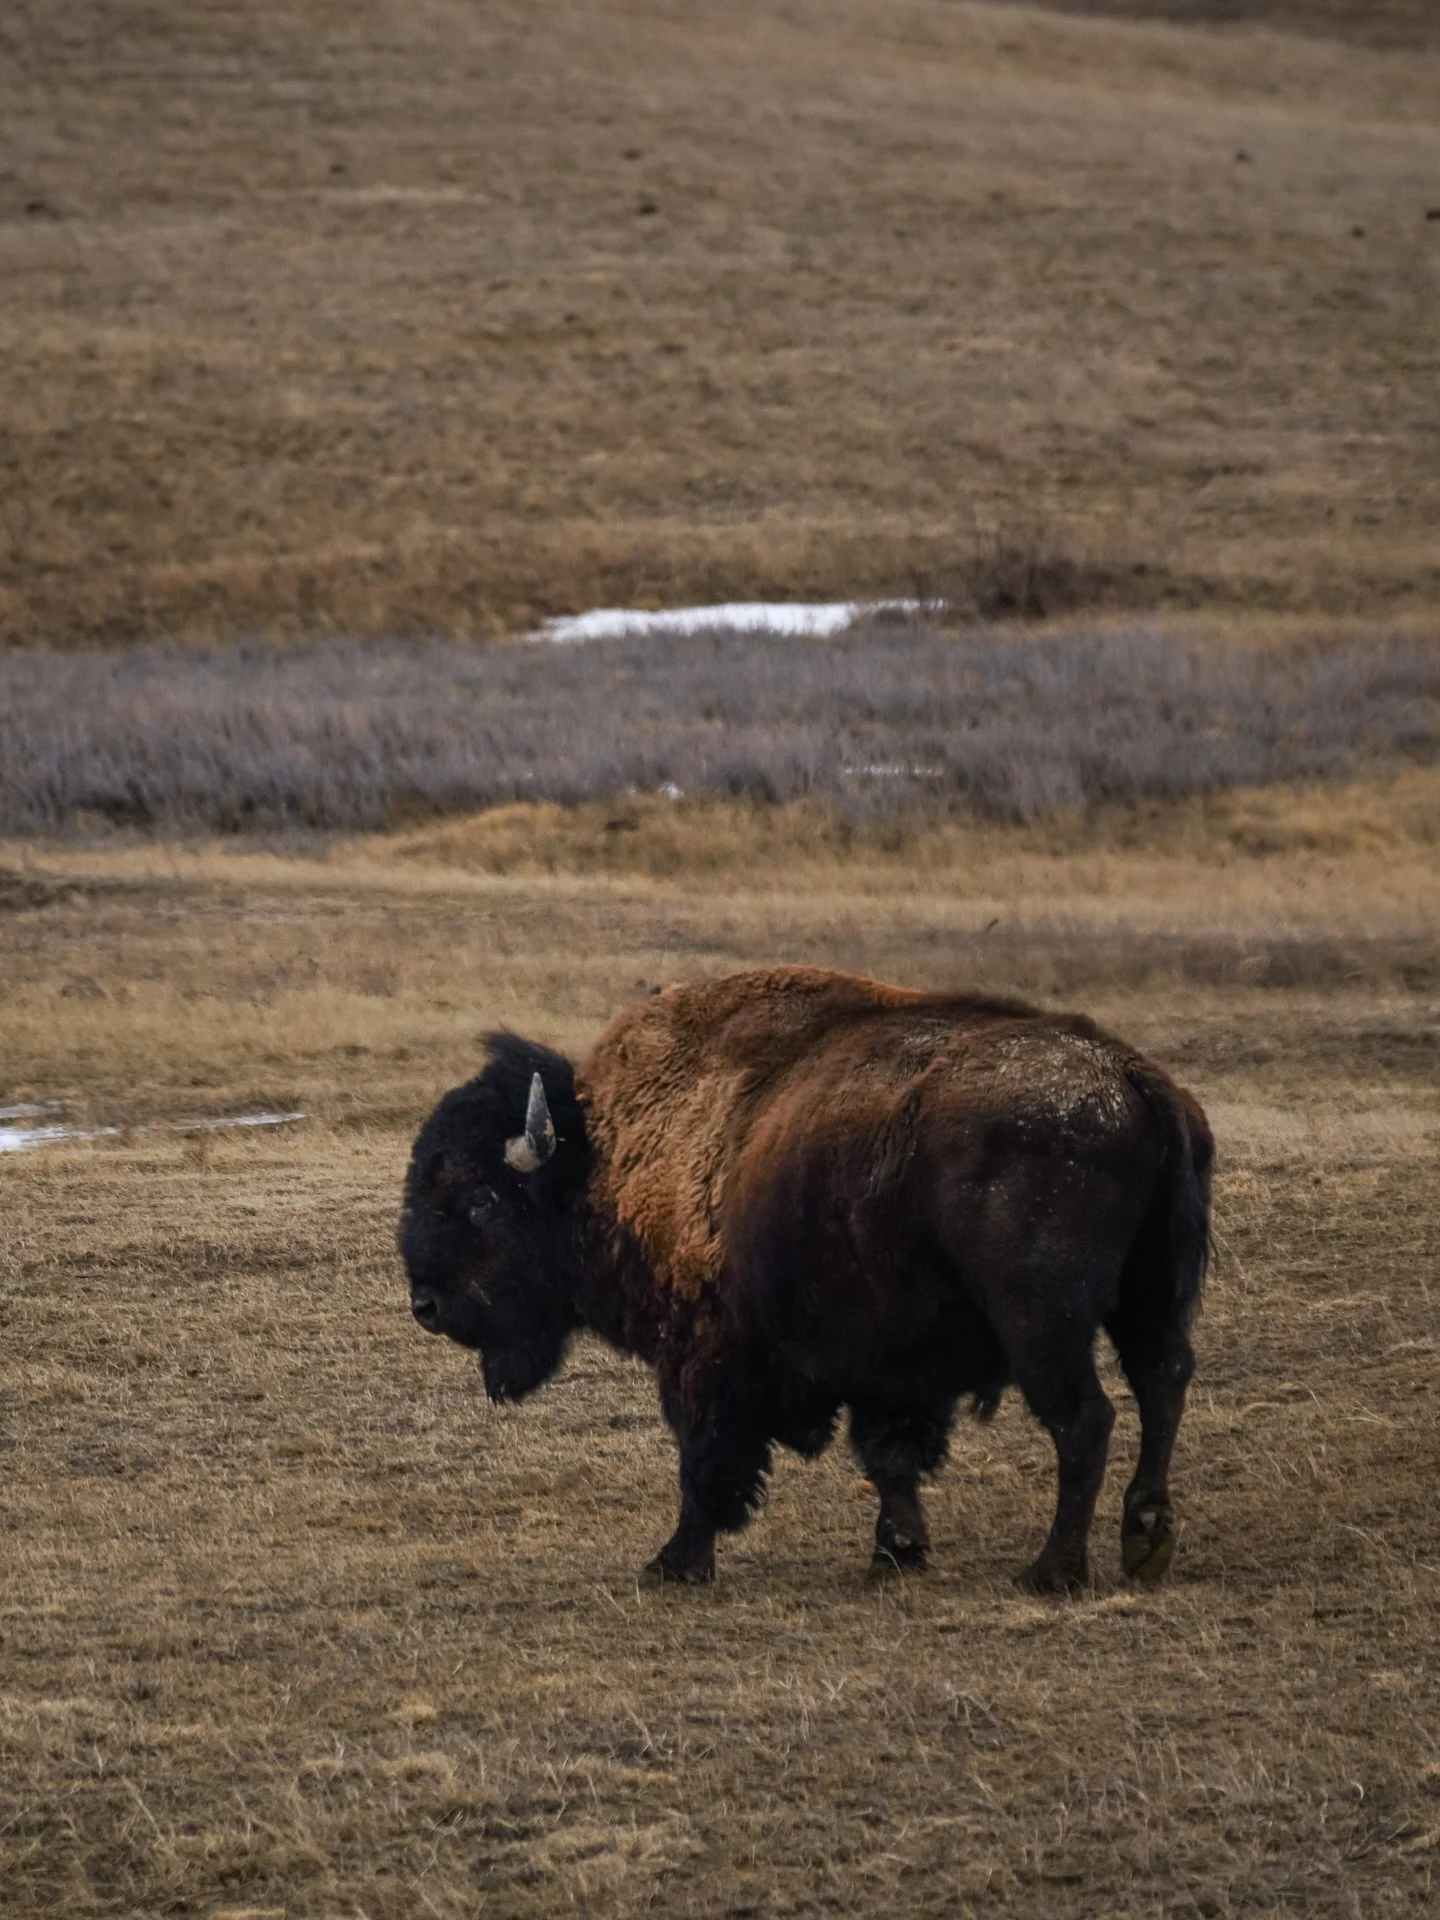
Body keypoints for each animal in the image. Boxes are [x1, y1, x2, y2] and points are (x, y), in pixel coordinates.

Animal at [400, 967, 1212, 1593]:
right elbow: (888, 1454)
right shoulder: (888, 1360)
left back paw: (1053, 1571)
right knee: (1162, 1379)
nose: (426, 1304)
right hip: (1150, 1295)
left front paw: (674, 1564)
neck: (603, 1156)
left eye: (480, 1197)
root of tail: (1133, 1078)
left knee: (1085, 1419)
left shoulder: (705, 1359)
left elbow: (704, 1459)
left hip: (1045, 1322)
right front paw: (896, 1550)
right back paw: (1145, 1540)